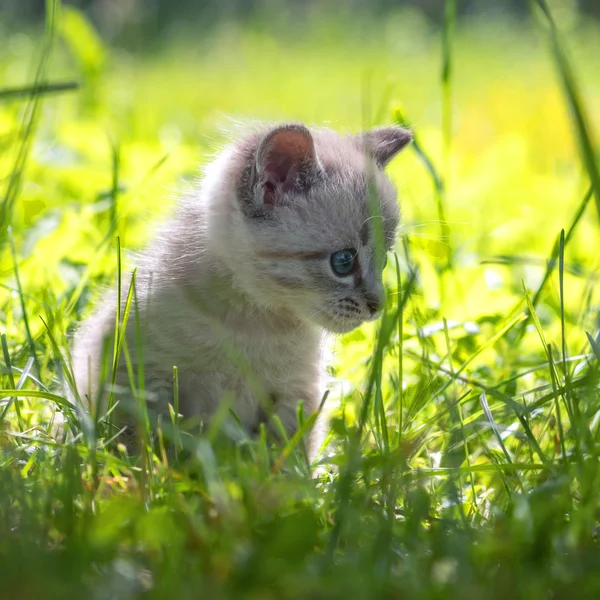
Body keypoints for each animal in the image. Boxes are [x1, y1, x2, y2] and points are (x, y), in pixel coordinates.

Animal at [68, 122, 410, 460]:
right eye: (343, 261)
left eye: (384, 261)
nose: (378, 306)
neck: (250, 325)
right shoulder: (138, 373)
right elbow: (139, 446)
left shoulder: (298, 392)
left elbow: (286, 458)